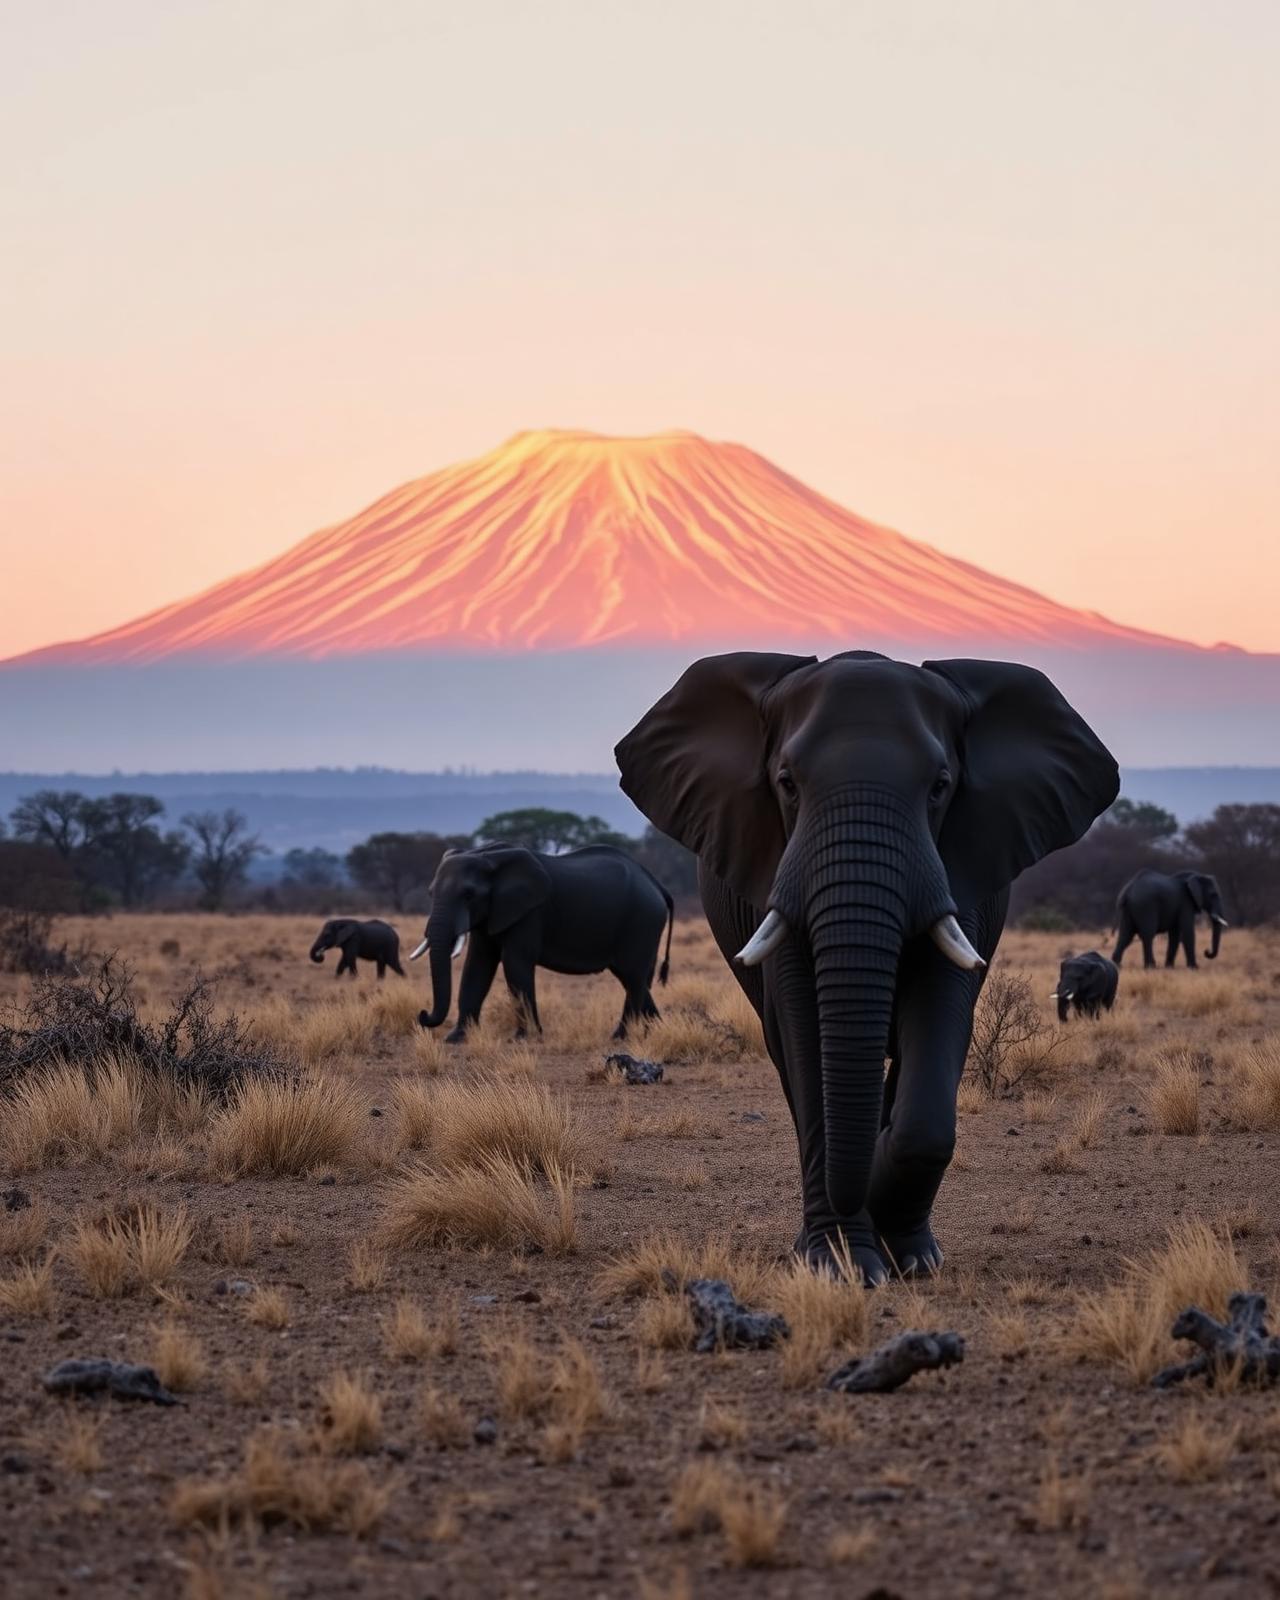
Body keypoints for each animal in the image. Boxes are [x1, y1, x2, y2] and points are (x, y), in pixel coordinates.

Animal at [412, 845, 675, 1044]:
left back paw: (621, 1037)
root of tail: (657, 885)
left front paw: (523, 1038)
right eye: (430, 893)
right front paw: (456, 1039)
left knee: (632, 977)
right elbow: (477, 965)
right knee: (635, 978)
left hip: (642, 921)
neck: (487, 855)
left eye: (468, 895)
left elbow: (515, 963)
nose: (423, 1014)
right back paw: (656, 1031)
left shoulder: (529, 912)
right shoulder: (491, 912)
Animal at [615, 650, 1118, 1284]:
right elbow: (806, 1034)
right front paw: (842, 1264)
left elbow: (935, 1028)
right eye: (786, 784)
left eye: (940, 788)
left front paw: (907, 1251)